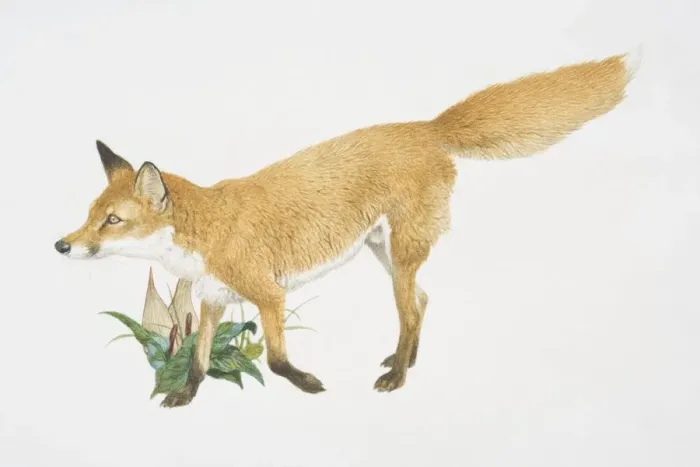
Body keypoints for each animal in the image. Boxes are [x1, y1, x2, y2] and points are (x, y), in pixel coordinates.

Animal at [55, 49, 640, 407]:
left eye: (112, 221)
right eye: (89, 215)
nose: (61, 244)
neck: (205, 236)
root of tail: (427, 127)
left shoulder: (269, 295)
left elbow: (276, 358)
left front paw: (308, 383)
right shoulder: (214, 299)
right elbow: (197, 361)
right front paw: (183, 397)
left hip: (400, 255)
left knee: (410, 310)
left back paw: (399, 374)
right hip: (386, 254)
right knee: (423, 301)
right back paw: (406, 361)